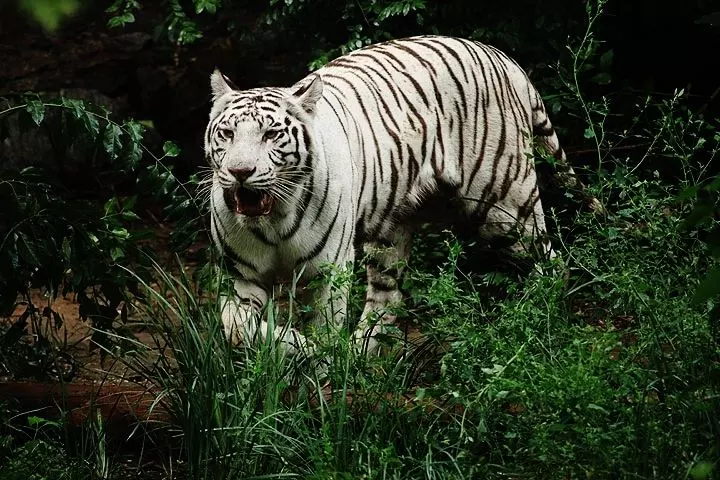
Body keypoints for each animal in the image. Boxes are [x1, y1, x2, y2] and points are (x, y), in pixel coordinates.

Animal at [201, 34, 596, 356]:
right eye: (227, 134)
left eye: (270, 135)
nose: (240, 172)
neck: (273, 219)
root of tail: (505, 59)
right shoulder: (239, 276)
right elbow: (238, 327)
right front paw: (301, 350)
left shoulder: (329, 270)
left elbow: (325, 326)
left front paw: (322, 366)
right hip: (392, 229)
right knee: (388, 297)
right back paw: (361, 352)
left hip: (504, 205)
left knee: (551, 261)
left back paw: (538, 315)